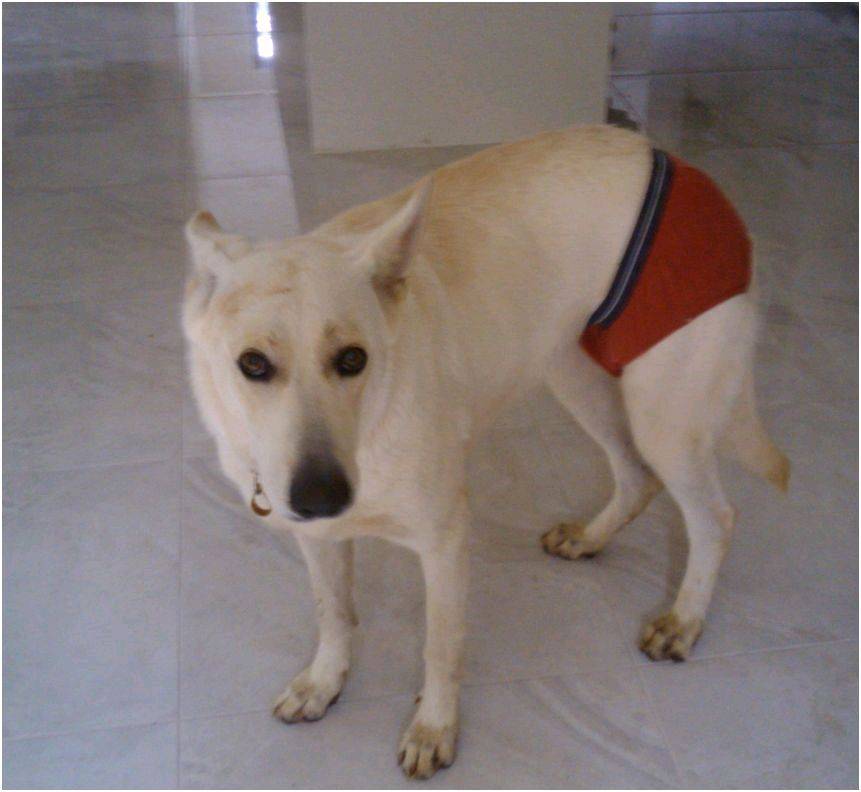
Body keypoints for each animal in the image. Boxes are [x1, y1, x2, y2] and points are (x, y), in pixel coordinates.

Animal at [182, 125, 788, 780]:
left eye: (352, 359)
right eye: (252, 364)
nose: (322, 495)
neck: (372, 424)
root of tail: (683, 167)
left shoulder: (444, 541)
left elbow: (440, 646)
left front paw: (433, 727)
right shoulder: (317, 535)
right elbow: (334, 613)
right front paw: (323, 682)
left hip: (665, 417)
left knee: (714, 517)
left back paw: (685, 620)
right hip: (573, 374)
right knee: (635, 477)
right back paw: (590, 538)